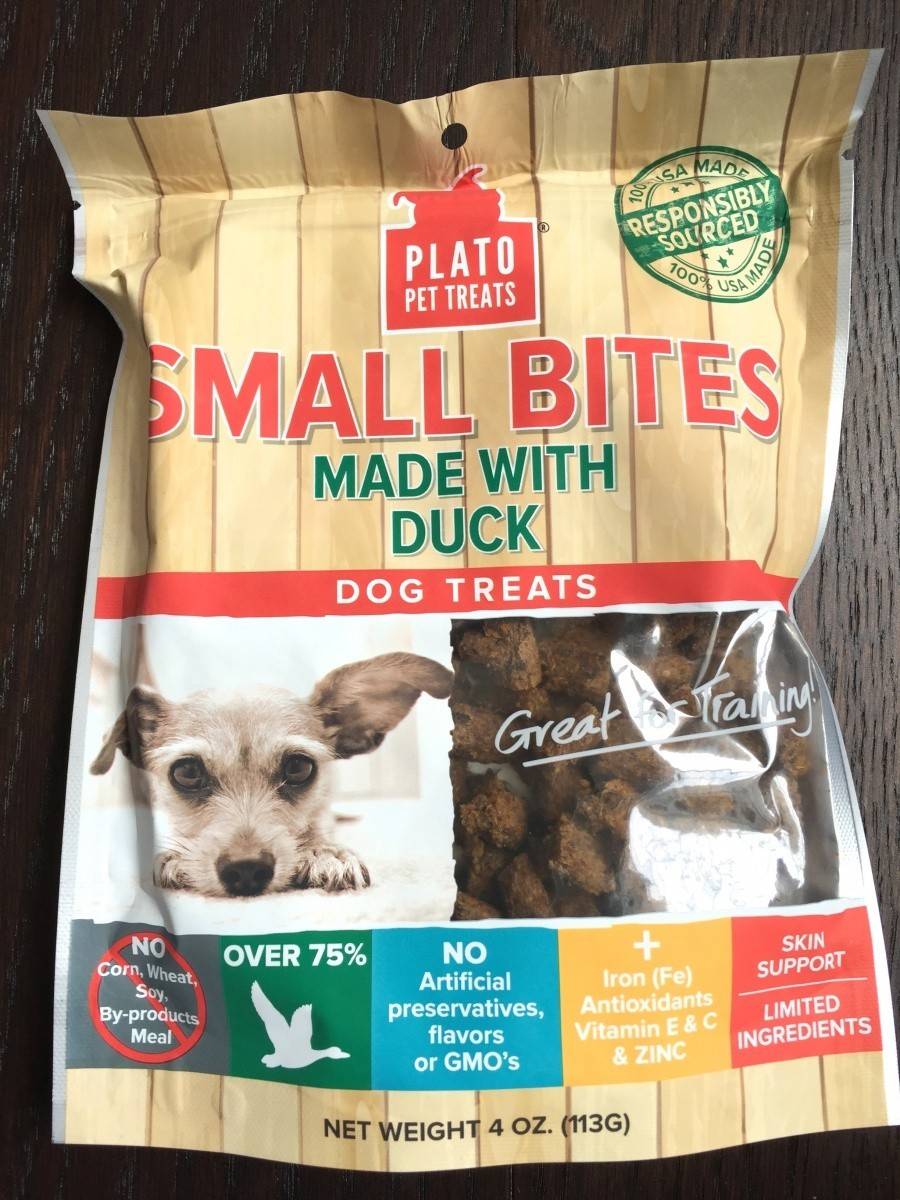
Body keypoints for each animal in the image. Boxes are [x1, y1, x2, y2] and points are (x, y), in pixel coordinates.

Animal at [90, 651, 452, 898]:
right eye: (188, 772)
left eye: (298, 768)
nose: (247, 870)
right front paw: (172, 857)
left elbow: (319, 832)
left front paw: (326, 853)